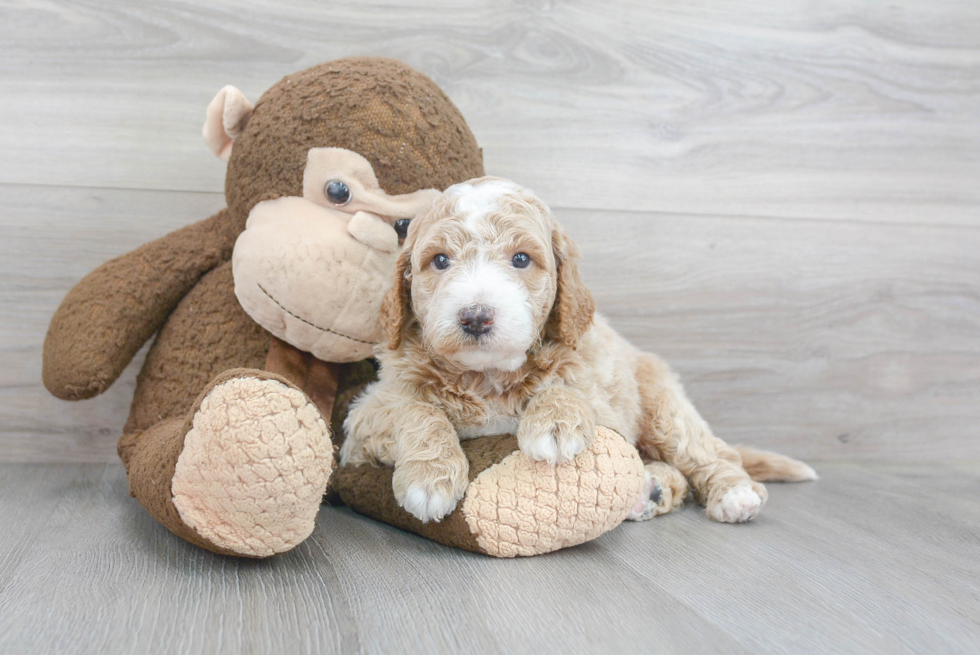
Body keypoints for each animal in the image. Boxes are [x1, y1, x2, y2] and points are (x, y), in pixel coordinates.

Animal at [340, 177, 816, 524]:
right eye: (439, 261)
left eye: (520, 259)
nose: (475, 317)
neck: (488, 378)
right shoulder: (366, 417)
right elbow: (416, 410)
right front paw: (430, 477)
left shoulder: (601, 393)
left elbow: (570, 385)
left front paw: (553, 422)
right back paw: (652, 490)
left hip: (663, 406)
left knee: (710, 453)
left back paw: (734, 492)